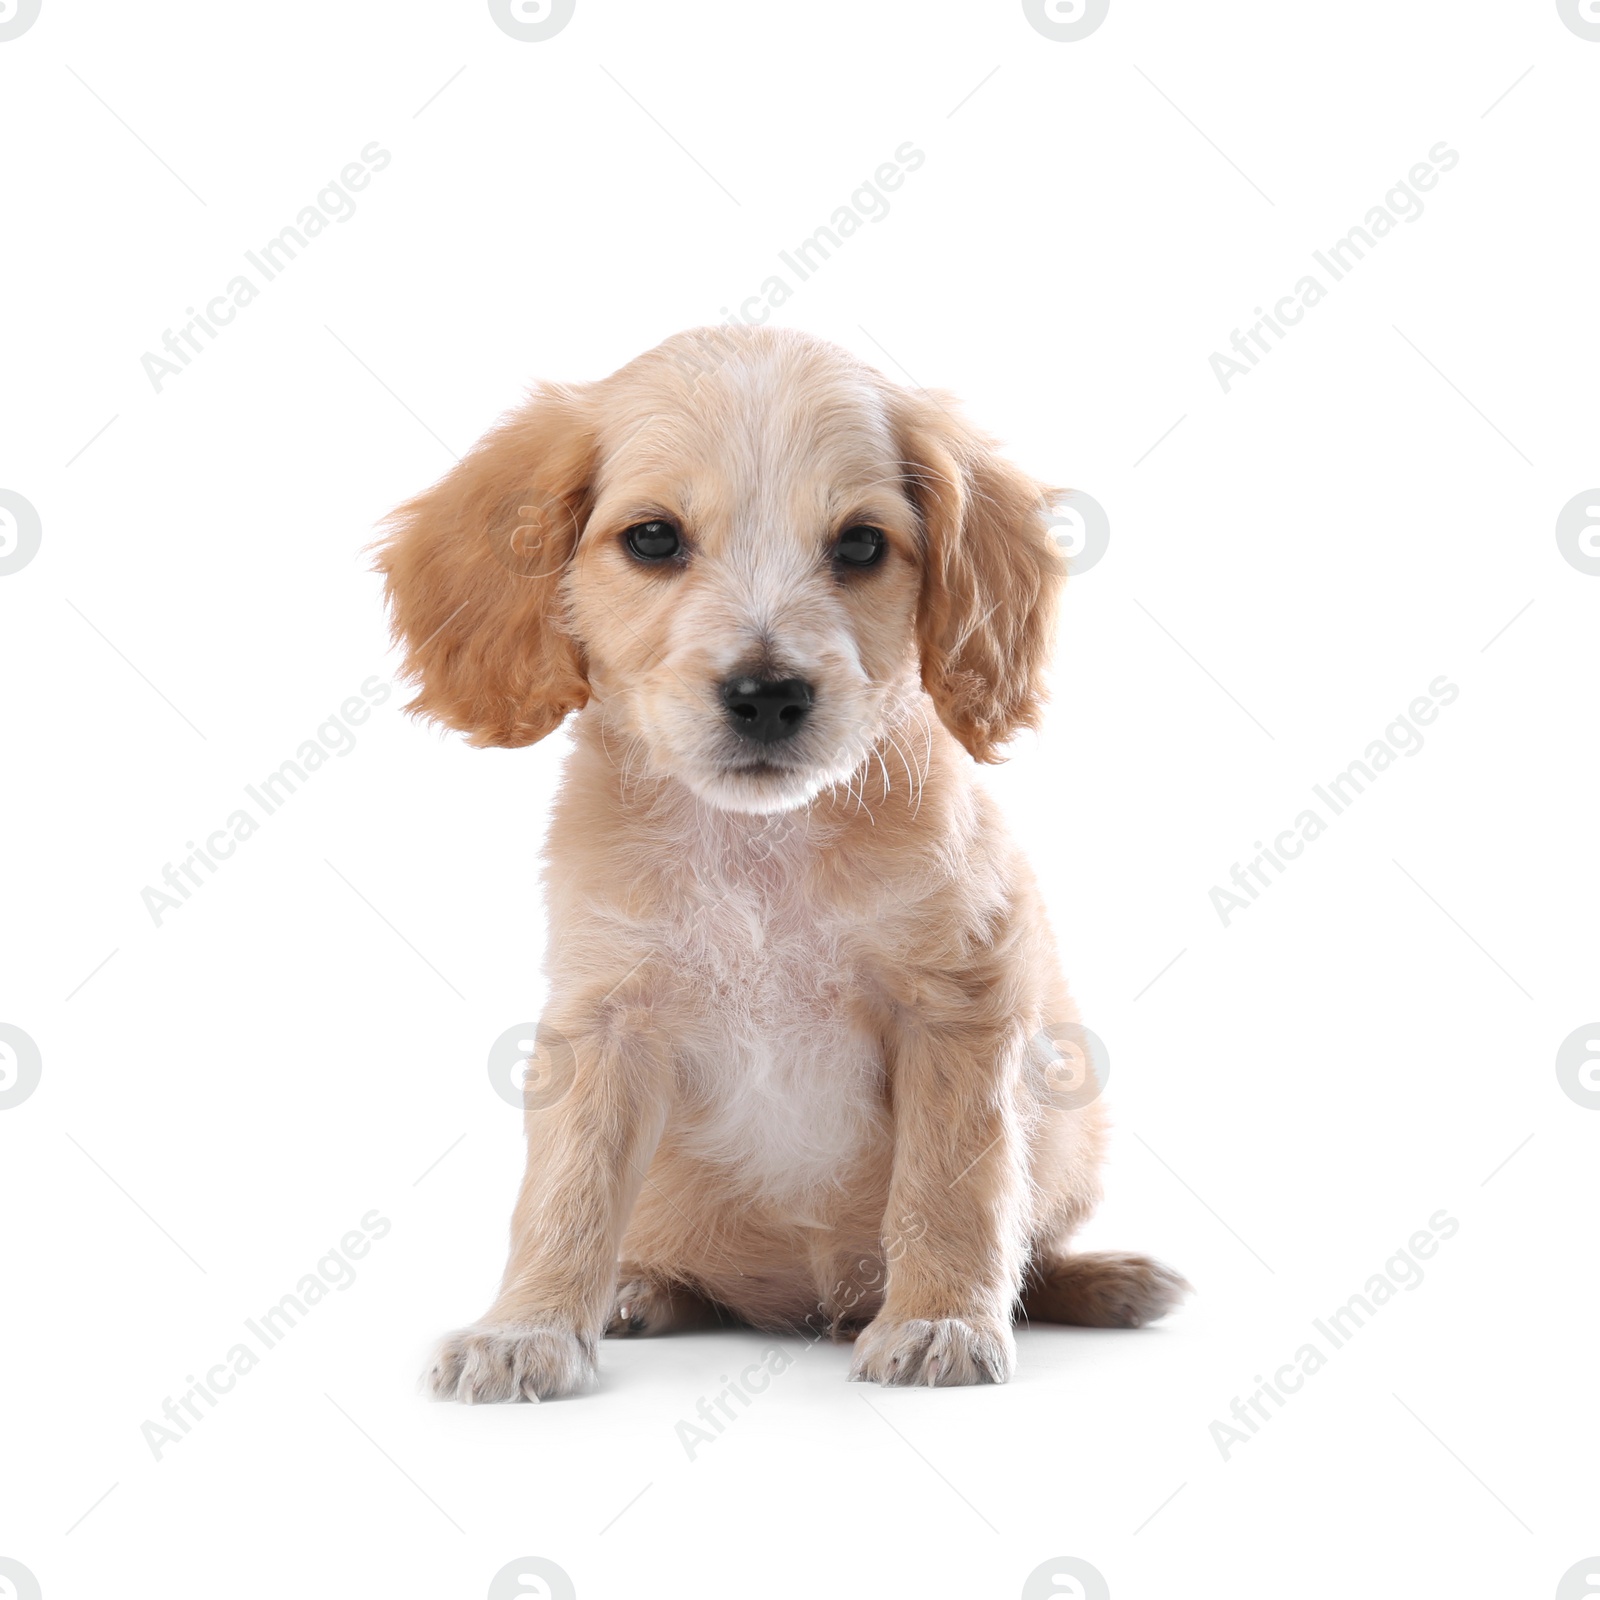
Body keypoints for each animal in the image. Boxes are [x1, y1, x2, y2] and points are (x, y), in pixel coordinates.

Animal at [380, 324, 1190, 1401]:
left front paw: (937, 1317)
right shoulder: (604, 1021)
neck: (758, 850)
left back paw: (1105, 1280)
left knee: (1037, 1247)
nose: (767, 694)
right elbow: (565, 1191)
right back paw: (642, 1286)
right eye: (652, 538)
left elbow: (954, 1184)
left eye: (860, 544)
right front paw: (528, 1328)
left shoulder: (959, 1003)